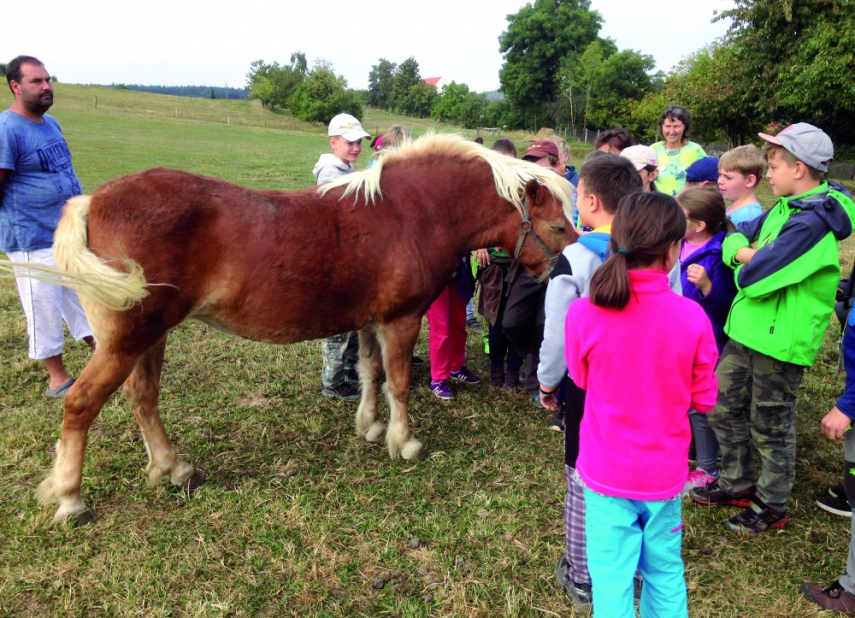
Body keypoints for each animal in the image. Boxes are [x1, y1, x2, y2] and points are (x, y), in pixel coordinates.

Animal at [1, 132, 576, 524]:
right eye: (556, 225)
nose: (564, 273)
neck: (410, 212)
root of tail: (92, 202)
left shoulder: (369, 321)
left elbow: (370, 374)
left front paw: (369, 426)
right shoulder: (400, 320)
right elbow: (399, 383)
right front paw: (404, 442)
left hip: (149, 338)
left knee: (143, 399)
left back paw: (172, 469)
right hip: (126, 340)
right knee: (82, 405)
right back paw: (71, 497)